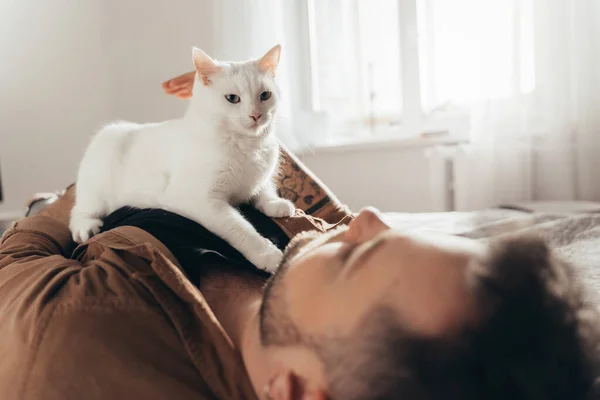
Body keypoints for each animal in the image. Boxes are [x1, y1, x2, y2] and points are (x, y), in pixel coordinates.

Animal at [69, 45, 294, 274]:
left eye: (265, 95)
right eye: (232, 98)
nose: (256, 115)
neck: (247, 145)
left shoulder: (258, 178)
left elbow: (263, 189)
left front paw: (274, 203)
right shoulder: (202, 201)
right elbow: (239, 227)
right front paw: (266, 253)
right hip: (96, 189)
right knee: (79, 210)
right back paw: (86, 227)